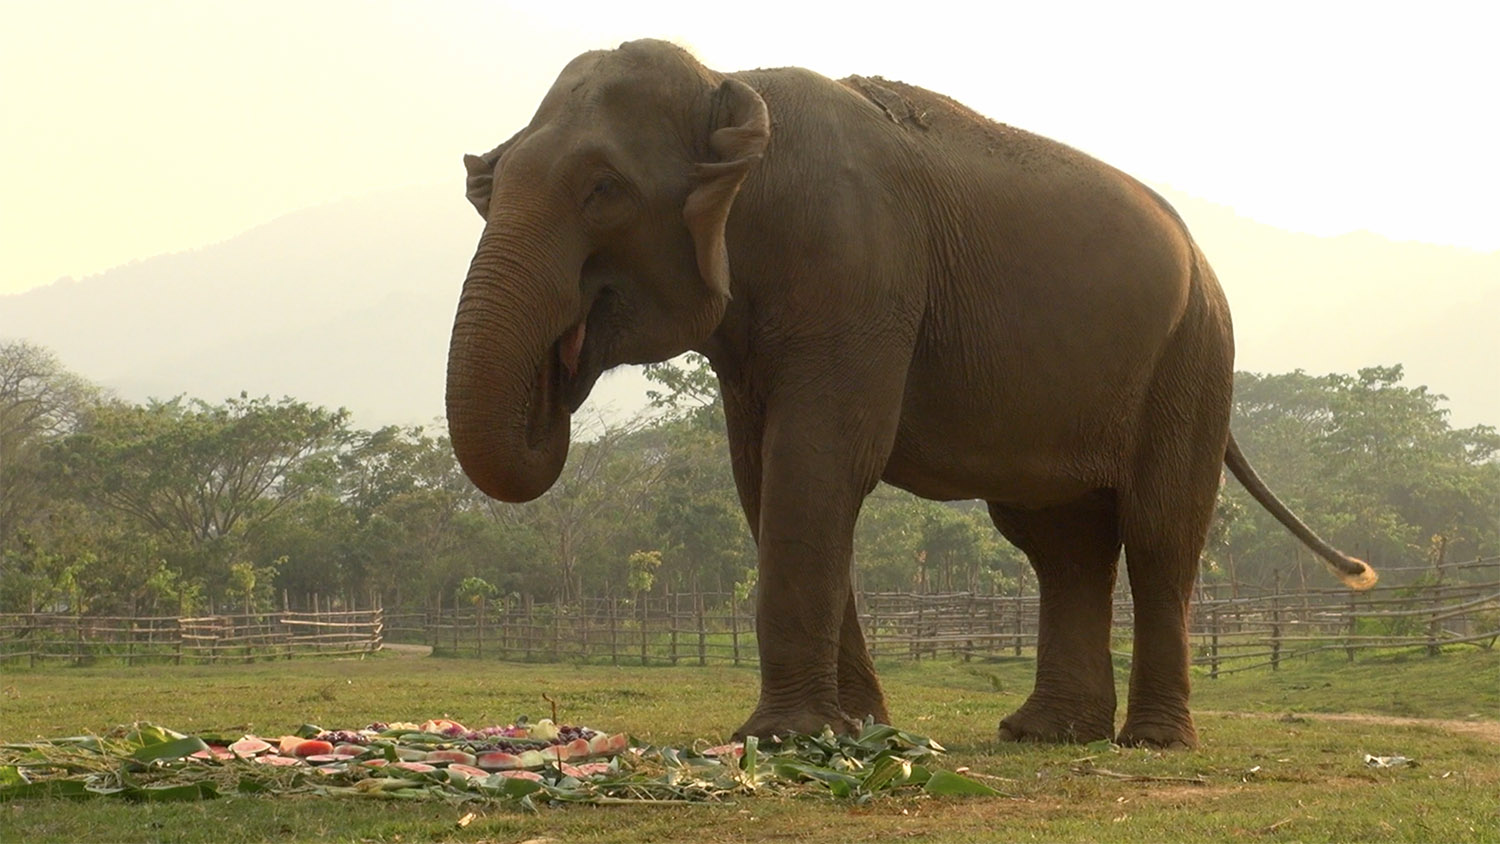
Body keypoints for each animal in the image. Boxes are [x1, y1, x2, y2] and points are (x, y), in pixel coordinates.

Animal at [445, 39, 1377, 749]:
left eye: (603, 189)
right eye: (487, 188)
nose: (560, 374)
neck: (732, 83)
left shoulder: (861, 273)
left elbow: (820, 464)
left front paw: (782, 739)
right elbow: (763, 480)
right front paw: (852, 732)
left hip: (1193, 359)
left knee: (1156, 534)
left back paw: (1149, 743)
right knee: (1060, 544)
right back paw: (1043, 734)